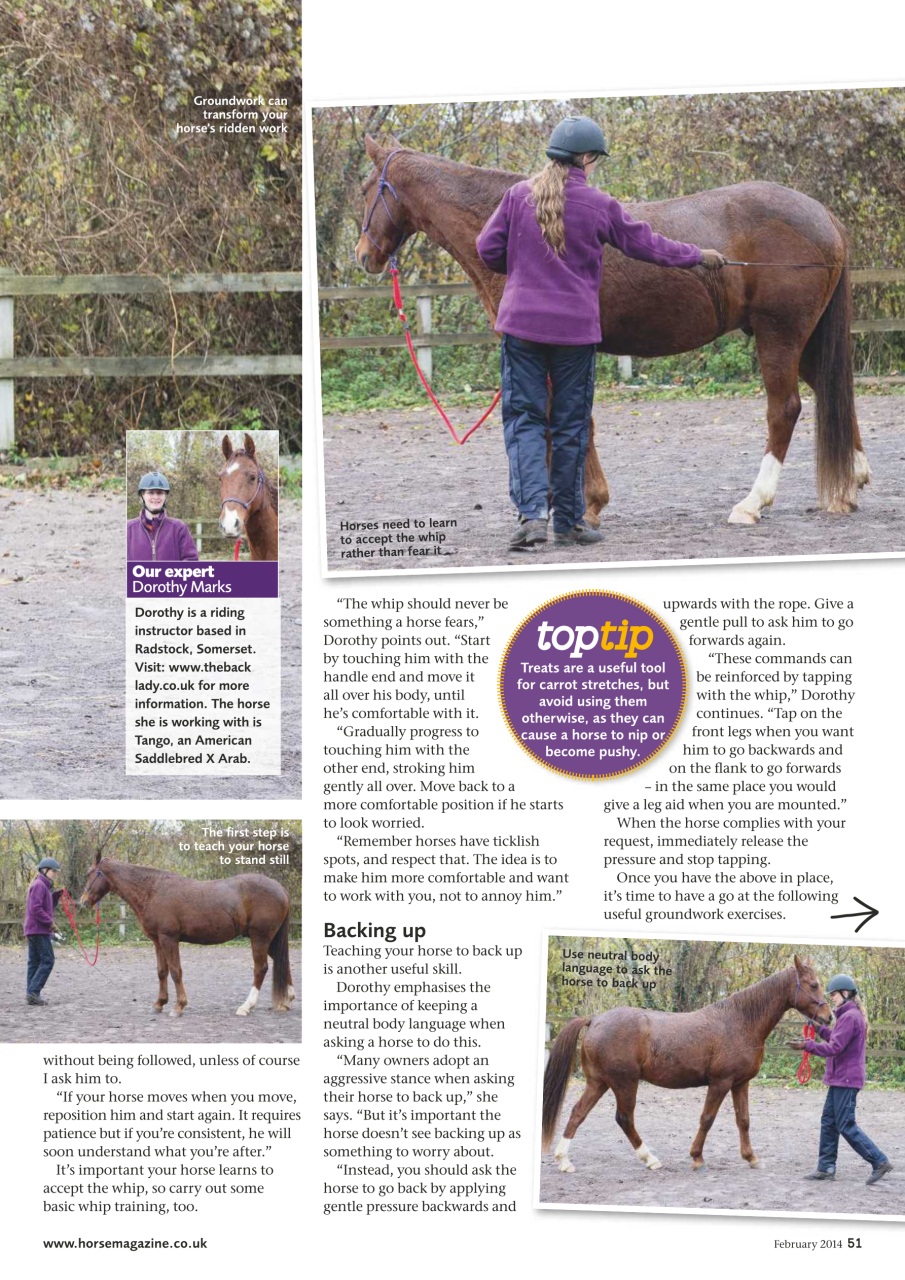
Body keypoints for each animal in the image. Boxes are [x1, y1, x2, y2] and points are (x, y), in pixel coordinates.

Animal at [78, 855, 295, 1018]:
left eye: (90, 874)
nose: (83, 901)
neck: (153, 890)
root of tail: (281, 889)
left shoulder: (169, 939)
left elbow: (176, 971)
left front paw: (178, 1006)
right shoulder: (158, 941)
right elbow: (162, 972)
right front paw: (159, 1003)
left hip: (260, 938)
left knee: (261, 968)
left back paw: (246, 1006)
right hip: (271, 940)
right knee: (282, 961)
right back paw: (287, 1001)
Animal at [356, 137, 871, 527]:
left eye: (365, 190)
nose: (364, 255)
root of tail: (825, 217)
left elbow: (564, 420)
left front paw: (581, 505)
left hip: (778, 336)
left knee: (785, 410)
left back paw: (752, 503)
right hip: (805, 341)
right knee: (833, 390)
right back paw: (851, 485)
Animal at [542, 956, 830, 1173]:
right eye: (813, 984)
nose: (829, 1016)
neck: (739, 1021)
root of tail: (595, 1020)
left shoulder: (740, 1083)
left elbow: (744, 1120)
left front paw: (751, 1158)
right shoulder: (720, 1082)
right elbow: (707, 1118)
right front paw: (697, 1157)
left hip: (599, 1082)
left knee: (578, 1113)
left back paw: (564, 1161)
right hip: (624, 1083)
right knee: (624, 1118)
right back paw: (650, 1159)